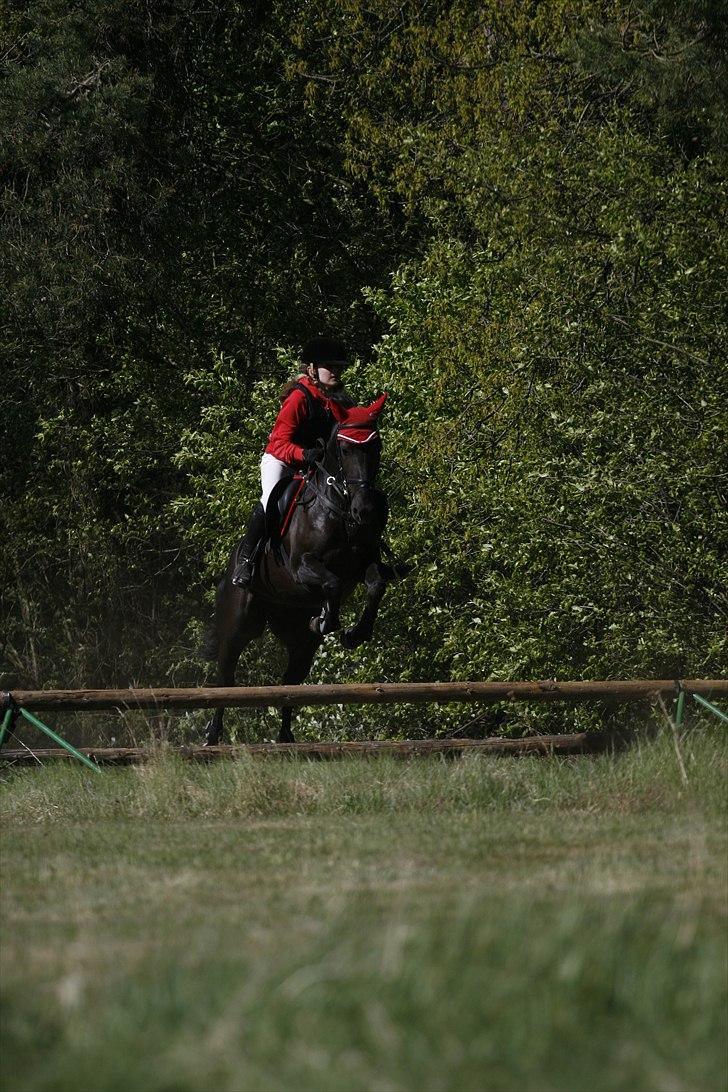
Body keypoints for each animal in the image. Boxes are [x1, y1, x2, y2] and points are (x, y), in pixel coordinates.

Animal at [204, 393, 399, 742]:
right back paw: (212, 735)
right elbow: (332, 584)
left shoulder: (364, 564)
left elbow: (376, 584)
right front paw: (327, 619)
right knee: (225, 677)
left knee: (290, 682)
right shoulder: (301, 568)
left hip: (297, 639)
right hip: (238, 625)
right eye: (344, 449)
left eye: (376, 446)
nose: (365, 510)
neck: (338, 507)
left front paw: (354, 633)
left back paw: (285, 738)